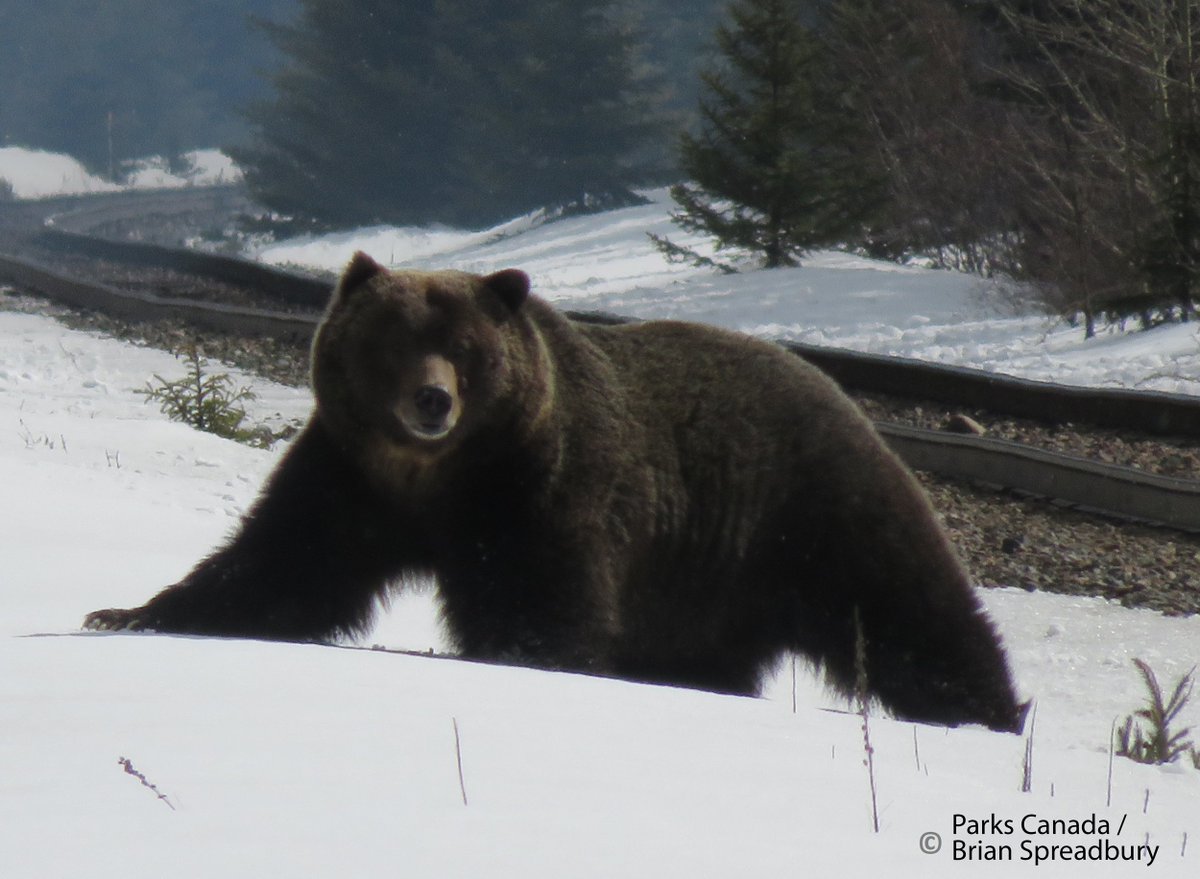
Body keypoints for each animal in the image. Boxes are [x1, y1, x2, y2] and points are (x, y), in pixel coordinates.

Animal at [85, 252, 1024, 732]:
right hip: (708, 587)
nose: (432, 401)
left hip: (810, 507)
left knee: (907, 602)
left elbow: (543, 602)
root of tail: (841, 393)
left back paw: (989, 710)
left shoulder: (540, 487)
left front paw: (516, 656)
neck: (435, 478)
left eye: (466, 347)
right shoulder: (349, 477)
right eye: (392, 338)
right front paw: (124, 612)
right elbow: (279, 565)